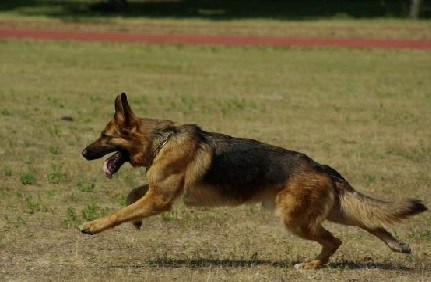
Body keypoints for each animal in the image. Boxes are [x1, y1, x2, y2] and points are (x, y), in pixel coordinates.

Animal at [79, 93, 426, 268]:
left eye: (104, 136)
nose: (83, 152)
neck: (161, 140)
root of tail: (322, 167)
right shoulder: (157, 193)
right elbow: (132, 196)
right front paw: (135, 221)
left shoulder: (160, 199)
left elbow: (120, 212)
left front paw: (94, 225)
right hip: (331, 211)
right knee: (370, 221)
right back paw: (397, 245)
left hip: (297, 220)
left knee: (335, 240)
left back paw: (313, 265)